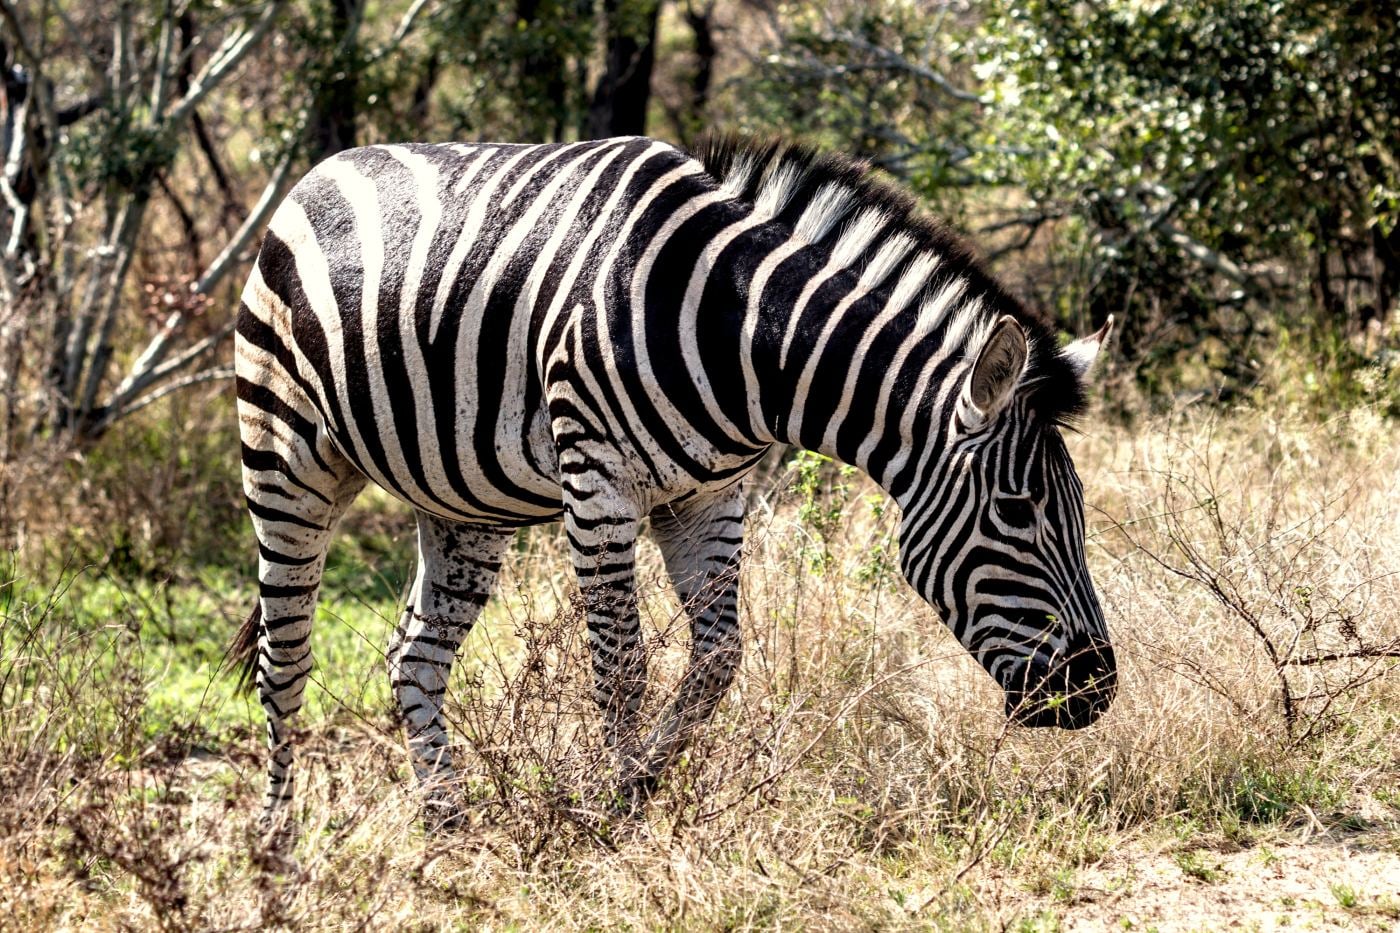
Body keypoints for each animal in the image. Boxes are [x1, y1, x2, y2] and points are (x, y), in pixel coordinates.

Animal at [229, 135, 1117, 832]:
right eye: (1017, 510)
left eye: (1077, 514)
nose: (1096, 690)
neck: (742, 331)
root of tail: (321, 170)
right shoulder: (599, 482)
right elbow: (622, 663)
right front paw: (609, 809)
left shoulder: (710, 497)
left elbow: (720, 656)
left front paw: (641, 784)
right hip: (284, 457)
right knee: (285, 656)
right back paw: (277, 844)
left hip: (459, 498)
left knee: (414, 653)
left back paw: (447, 823)